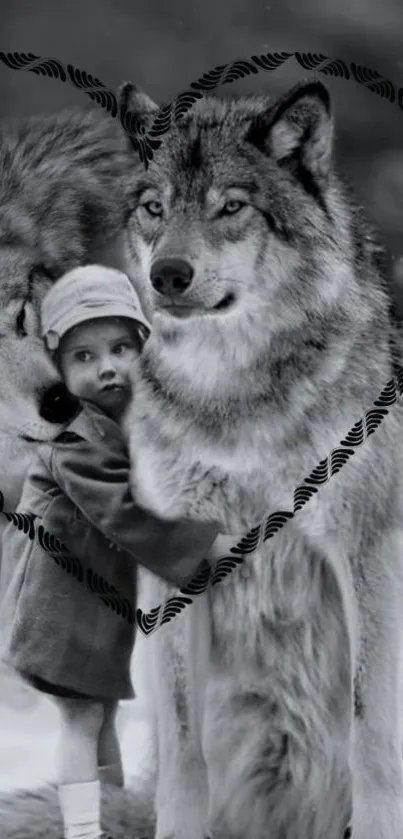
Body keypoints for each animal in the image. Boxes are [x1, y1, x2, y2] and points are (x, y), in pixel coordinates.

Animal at [123, 80, 403, 839]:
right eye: (155, 208)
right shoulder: (173, 560)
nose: (168, 274)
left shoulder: (367, 551)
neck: (234, 397)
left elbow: (370, 733)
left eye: (231, 207)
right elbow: (183, 746)